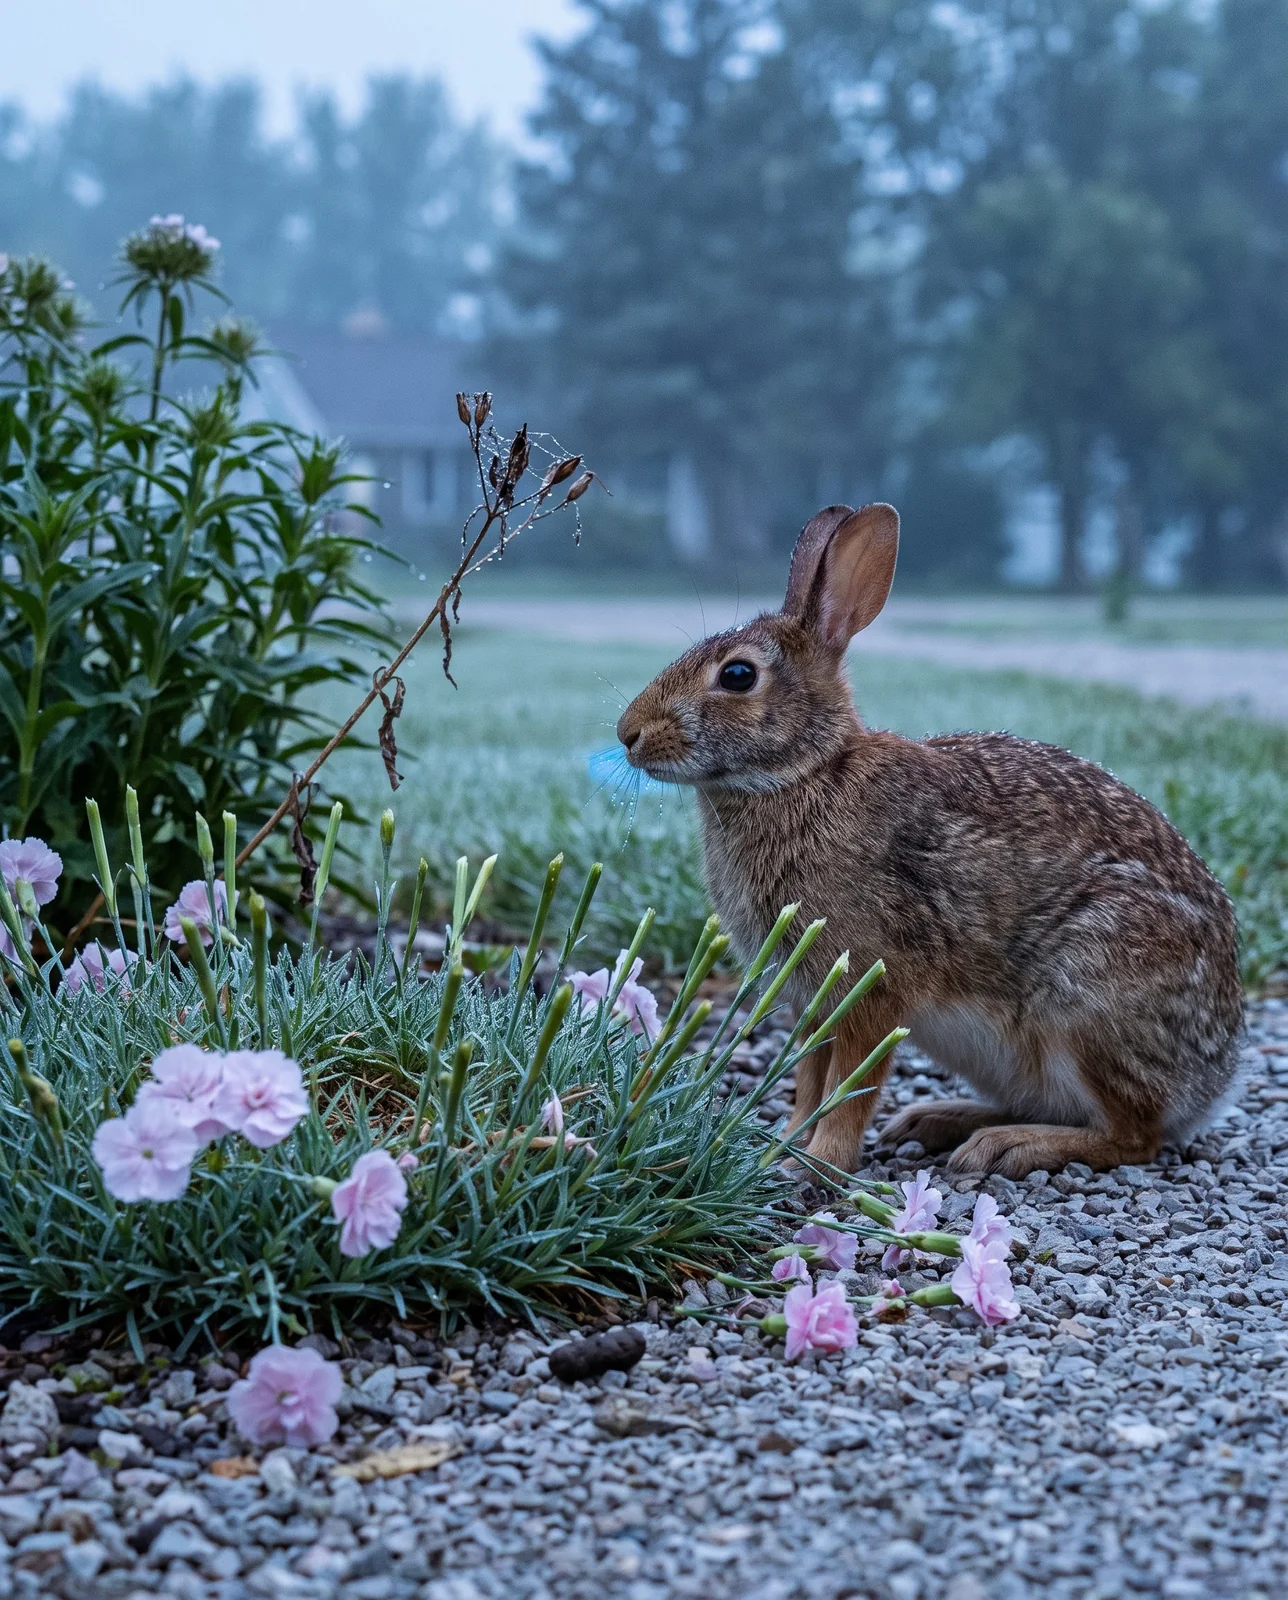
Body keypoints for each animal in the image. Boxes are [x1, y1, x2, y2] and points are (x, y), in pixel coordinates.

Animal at [616, 502, 1243, 1178]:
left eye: (737, 675)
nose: (628, 733)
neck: (808, 772)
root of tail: (1213, 1080)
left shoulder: (872, 983)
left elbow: (847, 1085)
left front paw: (820, 1162)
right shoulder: (811, 998)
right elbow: (810, 1078)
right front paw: (785, 1147)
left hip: (1086, 1001)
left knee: (1134, 1136)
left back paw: (1011, 1146)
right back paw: (940, 1120)